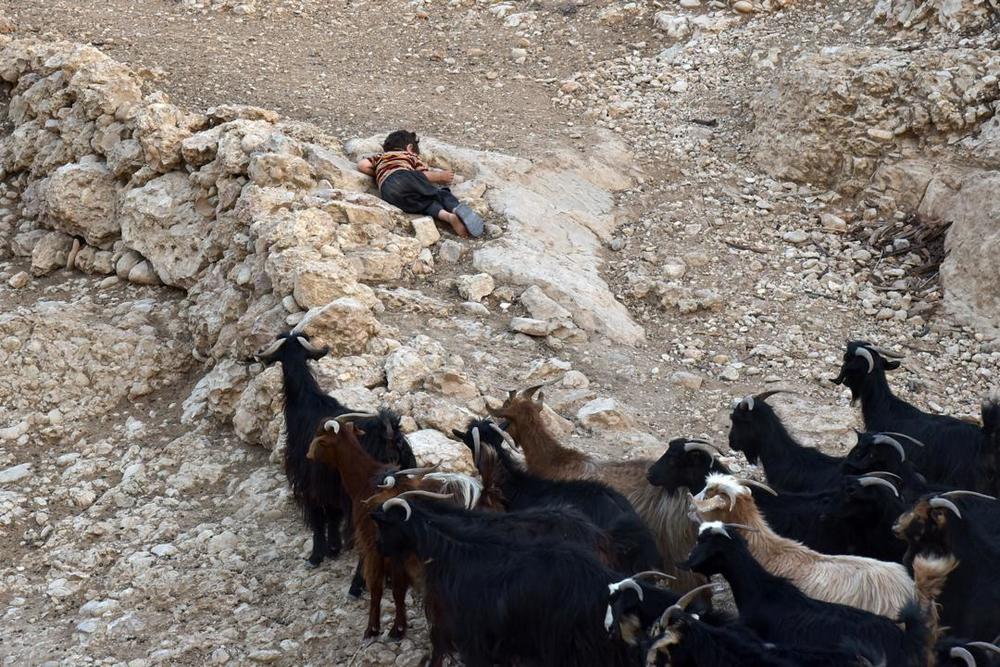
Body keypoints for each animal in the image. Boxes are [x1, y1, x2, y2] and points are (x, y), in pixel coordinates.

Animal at [258, 332, 418, 572]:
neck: (307, 404)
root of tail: (390, 436)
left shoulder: (309, 483)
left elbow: (318, 519)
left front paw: (316, 556)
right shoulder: (331, 486)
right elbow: (333, 516)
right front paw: (333, 548)